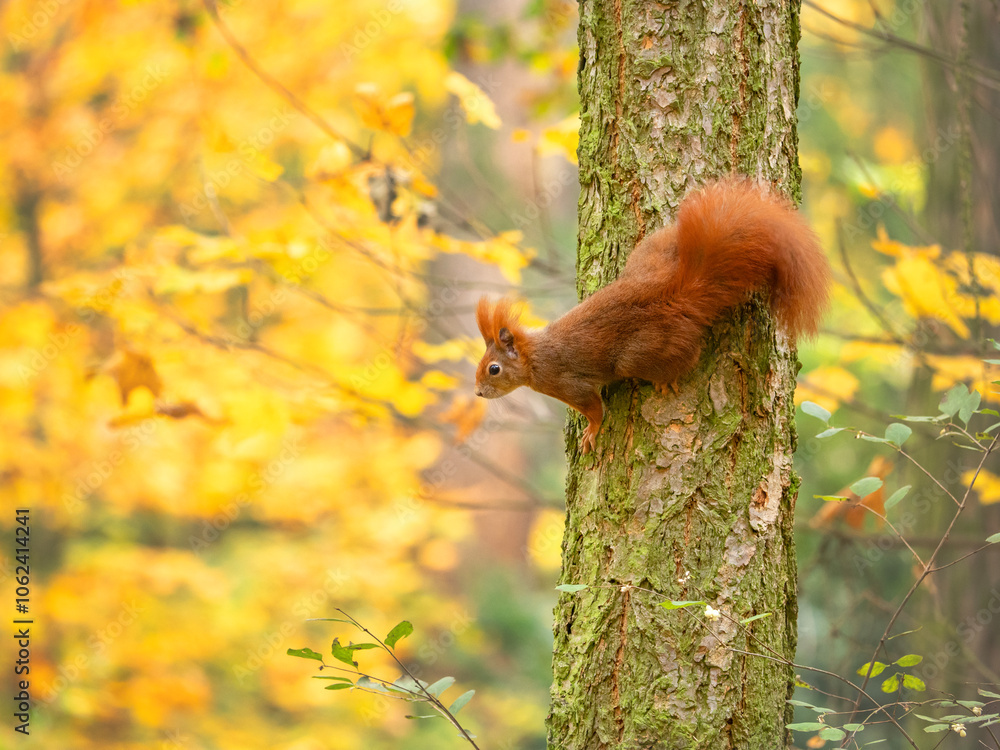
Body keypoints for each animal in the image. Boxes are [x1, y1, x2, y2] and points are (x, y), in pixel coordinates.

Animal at [474, 177, 830, 454]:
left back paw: (668, 378)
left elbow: (594, 408)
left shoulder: (568, 383)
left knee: (684, 356)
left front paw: (591, 432)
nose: (478, 393)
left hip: (638, 354)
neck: (534, 358)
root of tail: (674, 296)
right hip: (650, 255)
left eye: (494, 369)